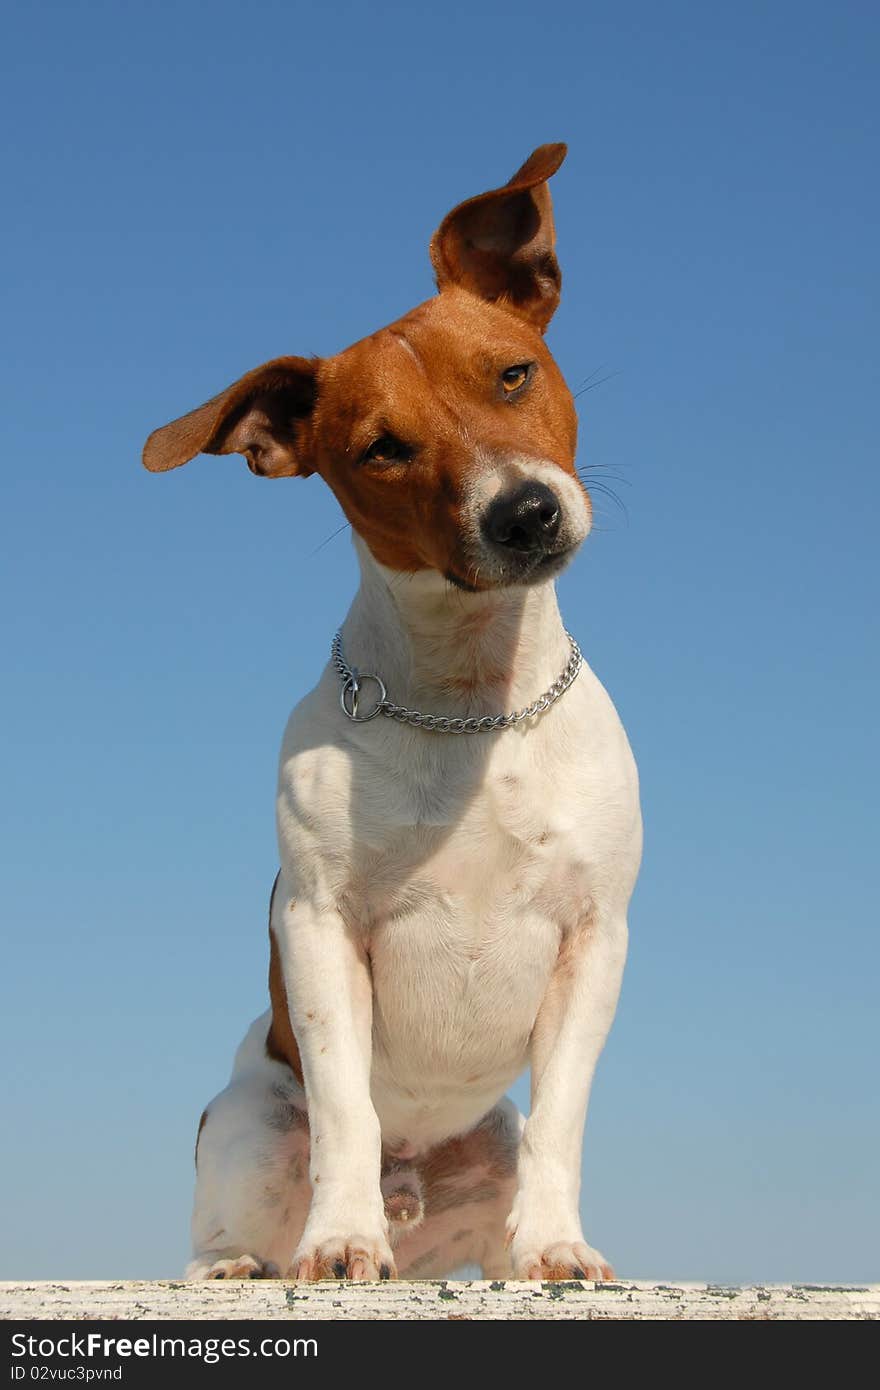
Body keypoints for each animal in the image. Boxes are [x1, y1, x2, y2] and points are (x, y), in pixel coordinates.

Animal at [142, 143, 639, 1278]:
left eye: (513, 374)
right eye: (381, 448)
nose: (524, 512)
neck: (469, 707)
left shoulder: (594, 935)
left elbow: (563, 1119)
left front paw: (558, 1246)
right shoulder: (321, 926)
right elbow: (345, 1109)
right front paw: (339, 1236)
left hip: (483, 1150)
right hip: (243, 1123)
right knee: (234, 1218)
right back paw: (257, 1257)